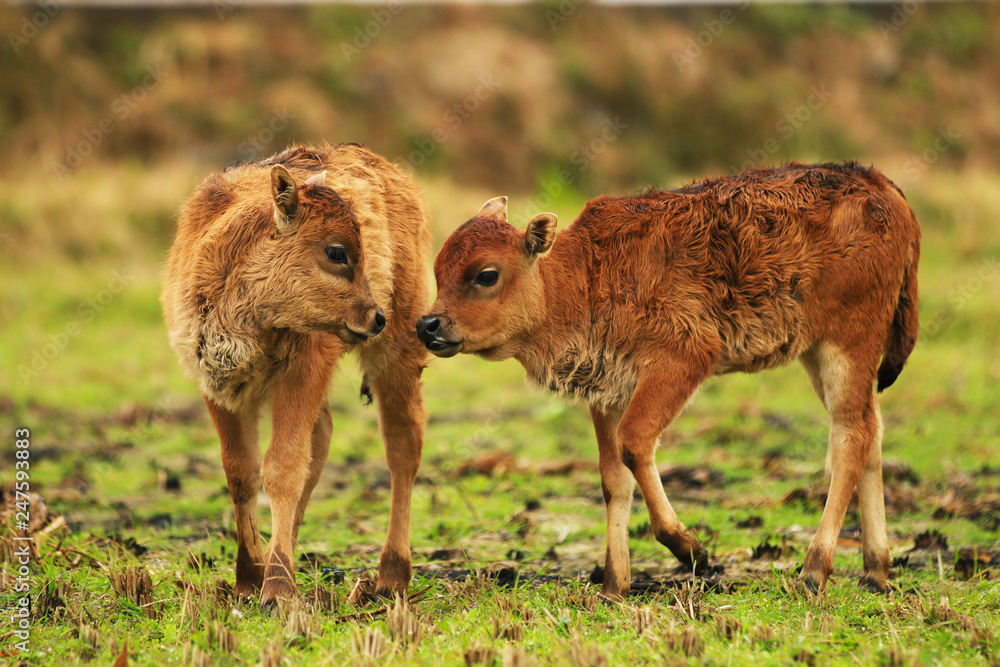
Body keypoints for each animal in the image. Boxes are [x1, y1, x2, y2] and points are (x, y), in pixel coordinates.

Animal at [162, 144, 430, 609]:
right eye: (336, 252)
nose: (375, 317)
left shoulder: (301, 373)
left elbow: (281, 467)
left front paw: (277, 589)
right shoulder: (217, 387)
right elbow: (242, 473)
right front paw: (248, 578)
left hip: (398, 356)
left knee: (402, 446)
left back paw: (391, 576)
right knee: (321, 442)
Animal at [417, 162, 920, 599]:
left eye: (486, 275)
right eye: (438, 269)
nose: (428, 325)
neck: (581, 277)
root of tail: (881, 186)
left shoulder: (680, 361)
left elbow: (635, 443)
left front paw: (693, 551)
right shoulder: (608, 392)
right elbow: (613, 479)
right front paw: (613, 586)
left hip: (847, 343)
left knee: (851, 435)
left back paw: (814, 571)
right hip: (818, 353)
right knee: (870, 430)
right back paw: (876, 570)